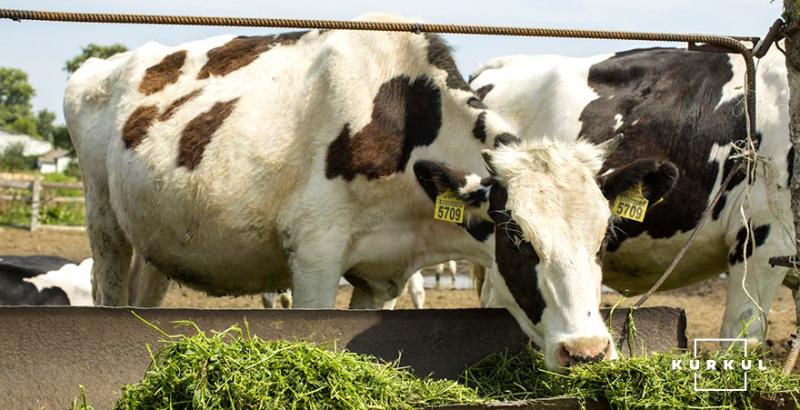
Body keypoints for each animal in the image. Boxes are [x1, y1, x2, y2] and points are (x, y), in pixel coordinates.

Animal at [64, 14, 676, 370]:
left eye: (604, 239)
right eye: (518, 238)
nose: (587, 351)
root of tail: (101, 65)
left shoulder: (381, 277)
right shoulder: (313, 257)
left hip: (155, 244)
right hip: (105, 224)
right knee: (108, 292)